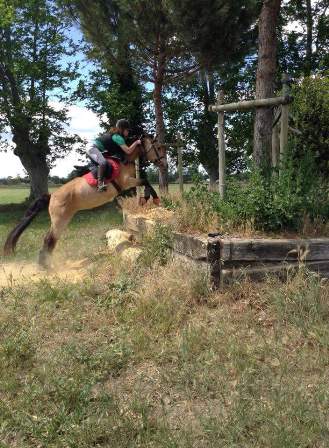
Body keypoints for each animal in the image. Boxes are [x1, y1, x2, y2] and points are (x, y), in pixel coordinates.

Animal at [2, 133, 167, 266]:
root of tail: (51, 196)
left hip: (63, 219)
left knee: (51, 241)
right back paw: (46, 267)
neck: (125, 160)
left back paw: (46, 265)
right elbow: (145, 180)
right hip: (60, 220)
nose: (164, 164)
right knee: (49, 240)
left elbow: (145, 180)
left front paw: (146, 198)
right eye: (158, 147)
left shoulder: (130, 181)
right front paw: (153, 199)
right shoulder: (127, 181)